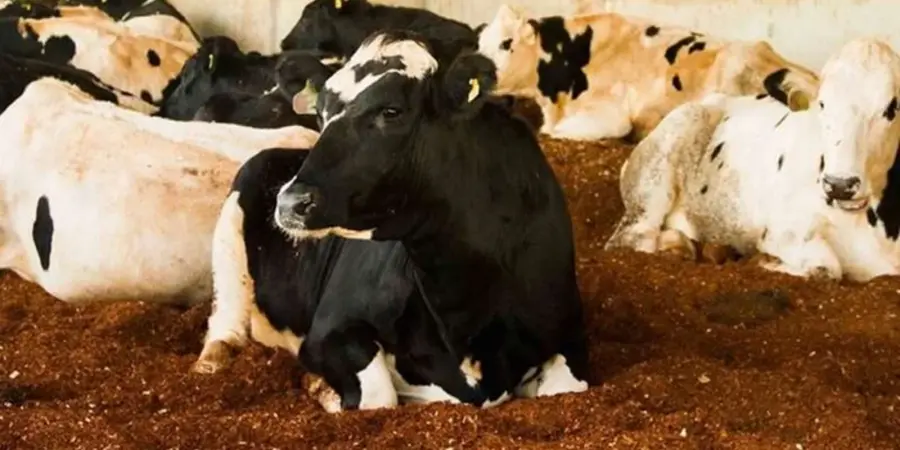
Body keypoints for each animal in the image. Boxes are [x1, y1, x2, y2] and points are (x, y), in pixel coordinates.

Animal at [193, 30, 589, 414]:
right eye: (321, 113)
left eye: (391, 111)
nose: (292, 201)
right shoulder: (330, 328)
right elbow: (378, 394)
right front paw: (323, 388)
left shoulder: (570, 339)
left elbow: (567, 387)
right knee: (226, 317)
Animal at [604, 37, 900, 283]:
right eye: (823, 105)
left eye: (891, 108)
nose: (839, 184)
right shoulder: (782, 230)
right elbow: (826, 268)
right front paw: (765, 261)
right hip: (656, 172)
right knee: (632, 238)